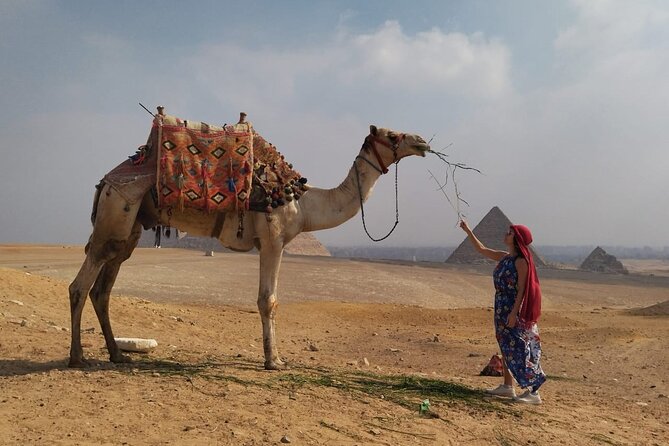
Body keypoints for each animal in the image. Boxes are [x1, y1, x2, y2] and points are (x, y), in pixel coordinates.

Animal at [68, 117, 430, 370]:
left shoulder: (269, 242)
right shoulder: (273, 239)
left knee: (103, 288)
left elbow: (269, 300)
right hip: (115, 213)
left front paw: (276, 357)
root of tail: (104, 181)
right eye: (392, 135)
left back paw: (117, 354)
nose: (422, 141)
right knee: (80, 285)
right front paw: (274, 361)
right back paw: (77, 356)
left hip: (129, 229)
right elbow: (268, 300)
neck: (304, 203)